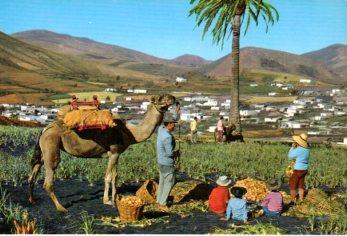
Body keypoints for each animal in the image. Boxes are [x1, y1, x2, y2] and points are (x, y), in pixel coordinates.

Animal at [28, 93, 177, 212]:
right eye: (159, 98)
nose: (173, 98)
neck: (130, 133)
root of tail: (45, 128)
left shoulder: (117, 154)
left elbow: (115, 176)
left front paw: (116, 197)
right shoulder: (113, 152)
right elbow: (108, 177)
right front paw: (107, 200)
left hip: (44, 148)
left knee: (34, 171)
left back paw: (32, 200)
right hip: (51, 143)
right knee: (48, 179)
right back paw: (61, 208)